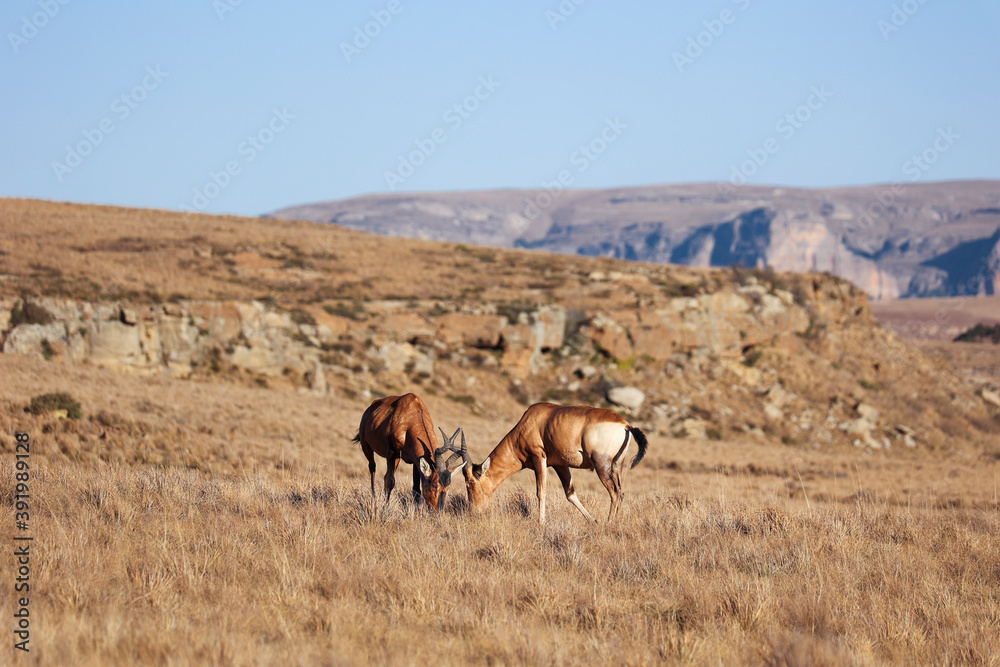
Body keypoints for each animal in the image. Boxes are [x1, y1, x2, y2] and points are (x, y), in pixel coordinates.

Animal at [456, 403, 648, 524]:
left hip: (601, 464)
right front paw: (593, 521)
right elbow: (570, 494)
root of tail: (626, 425)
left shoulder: (539, 457)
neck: (530, 421)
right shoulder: (560, 465)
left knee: (614, 493)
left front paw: (541, 523)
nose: (473, 513)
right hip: (617, 467)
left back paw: (609, 524)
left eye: (470, 483)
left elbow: (541, 492)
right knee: (621, 492)